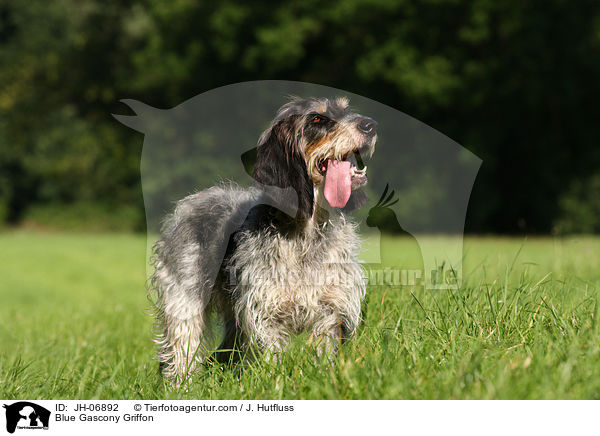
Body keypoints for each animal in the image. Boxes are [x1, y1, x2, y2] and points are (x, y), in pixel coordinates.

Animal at [151, 96, 376, 382]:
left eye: (346, 110)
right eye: (317, 119)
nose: (370, 124)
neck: (306, 233)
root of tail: (193, 201)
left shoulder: (330, 313)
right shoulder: (264, 316)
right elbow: (271, 360)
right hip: (185, 305)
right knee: (182, 353)